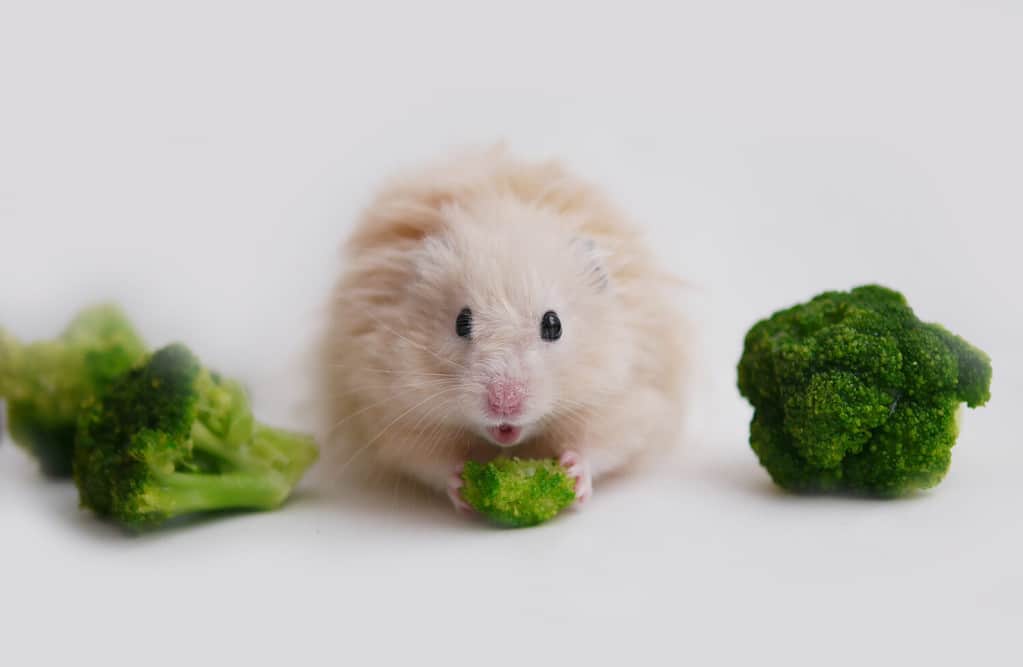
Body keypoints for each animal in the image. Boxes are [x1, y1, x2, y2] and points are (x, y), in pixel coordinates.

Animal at [319, 144, 687, 511]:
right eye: (461, 321)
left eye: (553, 324)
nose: (504, 404)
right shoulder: (391, 415)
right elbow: (428, 460)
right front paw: (461, 484)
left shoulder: (626, 400)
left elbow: (600, 447)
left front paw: (572, 474)